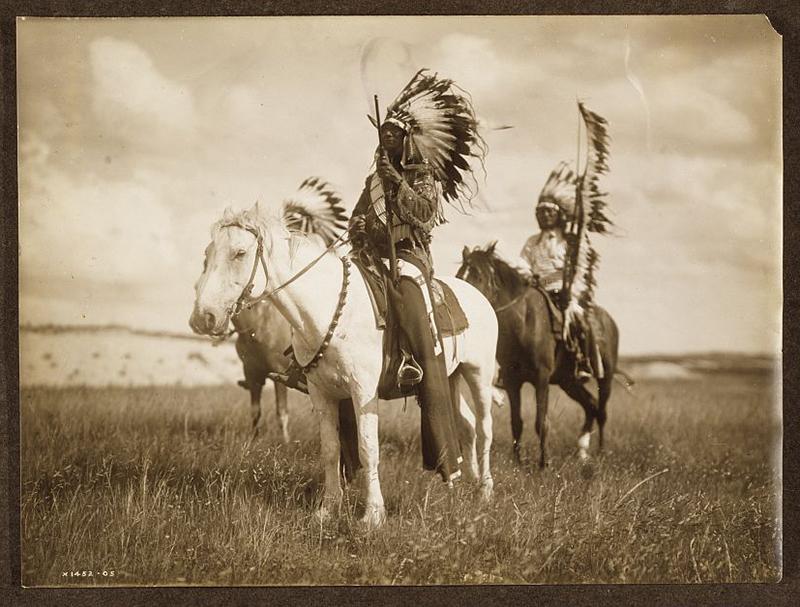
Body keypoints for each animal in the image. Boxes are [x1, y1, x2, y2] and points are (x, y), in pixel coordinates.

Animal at [190, 202, 496, 528]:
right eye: (207, 254)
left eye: (239, 253)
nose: (203, 317)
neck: (328, 310)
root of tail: (479, 296)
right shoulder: (322, 394)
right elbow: (330, 449)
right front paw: (328, 508)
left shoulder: (363, 393)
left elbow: (367, 449)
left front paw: (373, 514)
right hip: (451, 377)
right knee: (467, 425)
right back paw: (464, 481)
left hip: (479, 375)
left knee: (484, 427)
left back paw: (485, 490)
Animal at [456, 242, 624, 466]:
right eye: (459, 275)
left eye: (479, 276)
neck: (524, 323)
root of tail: (608, 321)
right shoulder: (512, 381)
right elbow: (516, 422)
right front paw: (518, 462)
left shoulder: (541, 378)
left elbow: (541, 422)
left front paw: (544, 463)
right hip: (569, 382)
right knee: (591, 406)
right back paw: (582, 452)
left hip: (605, 378)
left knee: (602, 411)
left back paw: (601, 451)